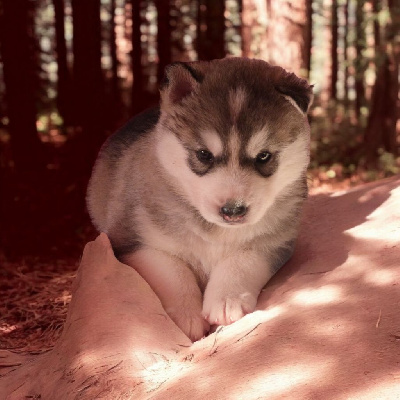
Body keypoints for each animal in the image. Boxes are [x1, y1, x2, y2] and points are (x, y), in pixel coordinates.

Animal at [86, 58, 312, 340]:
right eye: (204, 155)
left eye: (263, 156)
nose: (233, 211)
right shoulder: (132, 242)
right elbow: (172, 269)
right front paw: (185, 315)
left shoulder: (276, 242)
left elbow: (243, 260)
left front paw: (227, 300)